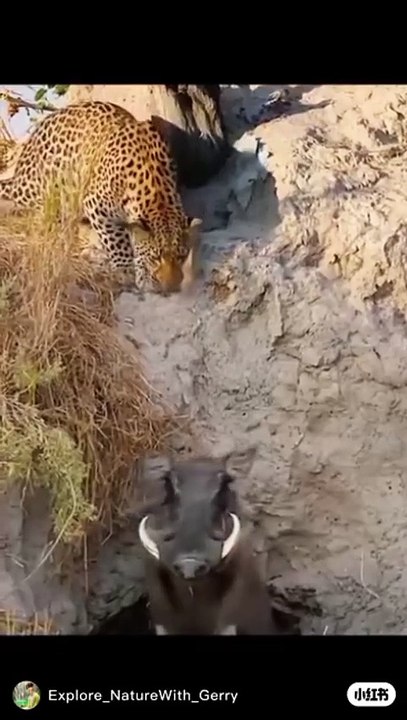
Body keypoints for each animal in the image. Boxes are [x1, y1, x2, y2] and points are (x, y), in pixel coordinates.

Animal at [0, 100, 202, 294]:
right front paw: (125, 271)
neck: (156, 191)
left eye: (181, 256)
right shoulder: (96, 207)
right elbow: (117, 242)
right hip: (42, 187)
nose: (172, 287)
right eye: (156, 258)